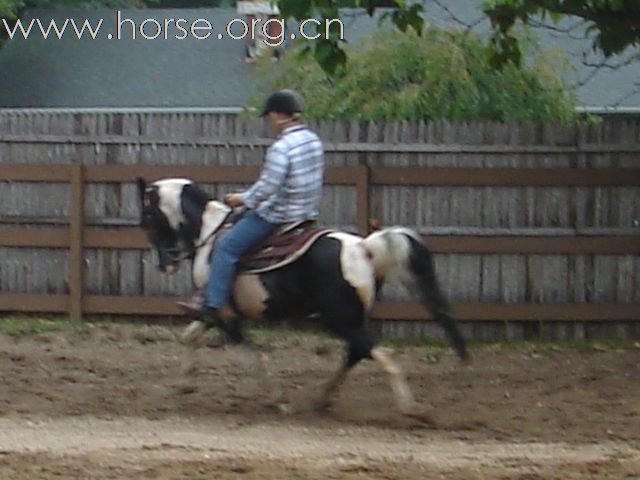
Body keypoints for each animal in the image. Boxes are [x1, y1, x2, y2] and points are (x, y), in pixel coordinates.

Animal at [138, 177, 468, 416]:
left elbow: (251, 356)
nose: (165, 263)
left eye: (148, 216)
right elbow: (190, 336)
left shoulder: (225, 315)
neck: (209, 233)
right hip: (349, 319)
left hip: (339, 319)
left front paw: (277, 399)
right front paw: (184, 383)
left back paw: (410, 408)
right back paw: (321, 399)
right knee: (357, 352)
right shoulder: (215, 311)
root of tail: (364, 248)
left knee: (379, 353)